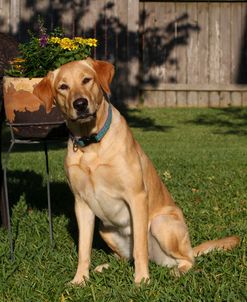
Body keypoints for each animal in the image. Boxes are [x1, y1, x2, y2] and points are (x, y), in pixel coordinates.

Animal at [33, 57, 240, 286]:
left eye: (87, 80)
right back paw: (104, 267)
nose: (80, 104)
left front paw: (141, 280)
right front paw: (79, 279)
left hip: (161, 223)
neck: (91, 145)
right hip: (105, 230)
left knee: (186, 259)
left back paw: (176, 271)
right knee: (126, 258)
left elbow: (140, 247)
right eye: (63, 87)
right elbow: (83, 249)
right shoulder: (82, 204)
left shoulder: (137, 197)